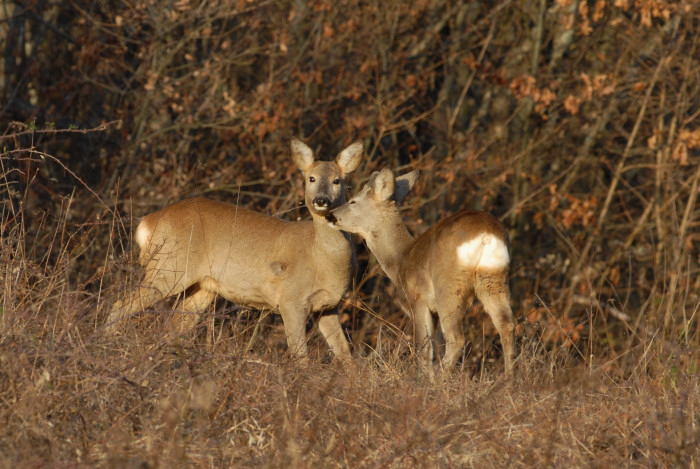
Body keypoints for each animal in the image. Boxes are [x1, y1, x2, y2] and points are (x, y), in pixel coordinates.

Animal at [108, 137, 366, 360]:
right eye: (311, 178)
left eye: (337, 181)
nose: (321, 200)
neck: (321, 259)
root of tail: (149, 222)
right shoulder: (290, 299)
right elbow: (300, 355)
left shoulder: (328, 306)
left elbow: (345, 354)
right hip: (168, 267)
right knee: (121, 305)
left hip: (203, 287)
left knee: (174, 325)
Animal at [326, 168, 516, 372]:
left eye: (353, 201)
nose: (330, 215)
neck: (400, 260)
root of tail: (486, 235)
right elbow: (435, 347)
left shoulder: (418, 300)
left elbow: (424, 350)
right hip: (494, 279)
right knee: (506, 326)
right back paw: (508, 377)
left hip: (448, 286)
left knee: (456, 338)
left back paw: (442, 377)